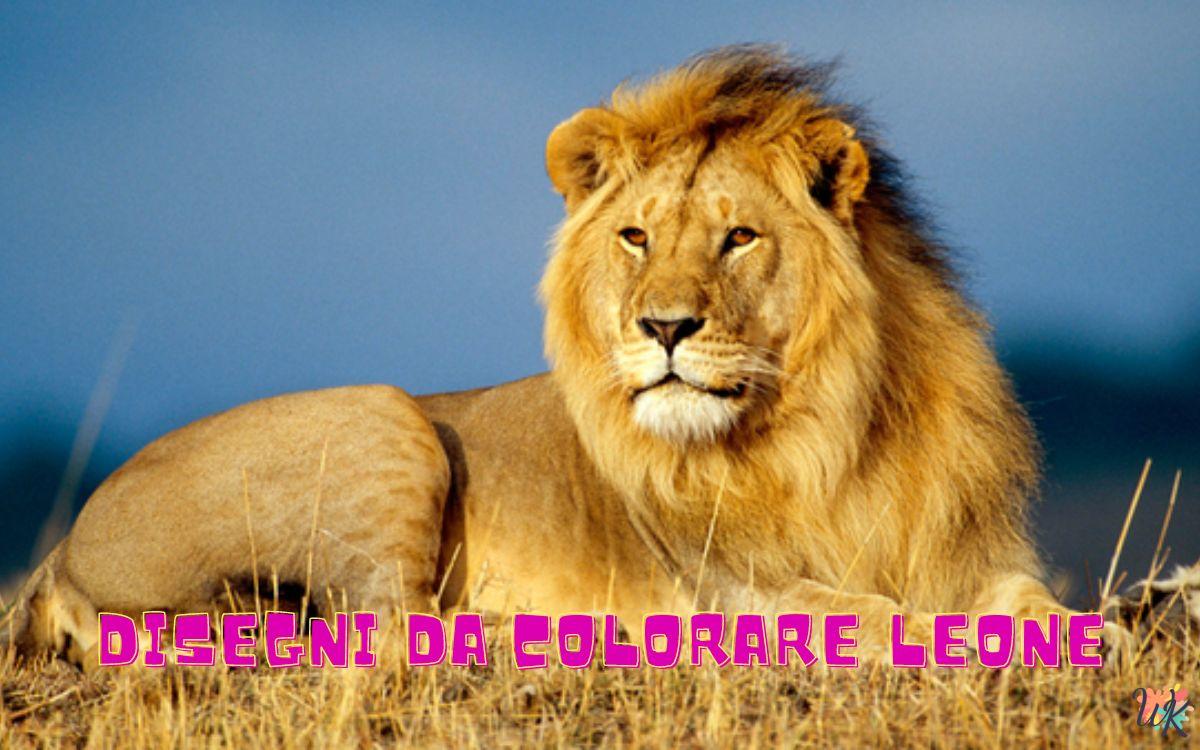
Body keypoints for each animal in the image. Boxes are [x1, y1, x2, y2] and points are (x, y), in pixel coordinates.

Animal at [3, 46, 1178, 667]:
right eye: (637, 237)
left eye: (737, 237)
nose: (664, 329)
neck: (827, 431)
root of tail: (59, 553)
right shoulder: (731, 592)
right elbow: (868, 616)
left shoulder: (970, 553)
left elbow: (1020, 603)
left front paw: (1106, 628)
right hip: (387, 418)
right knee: (389, 630)